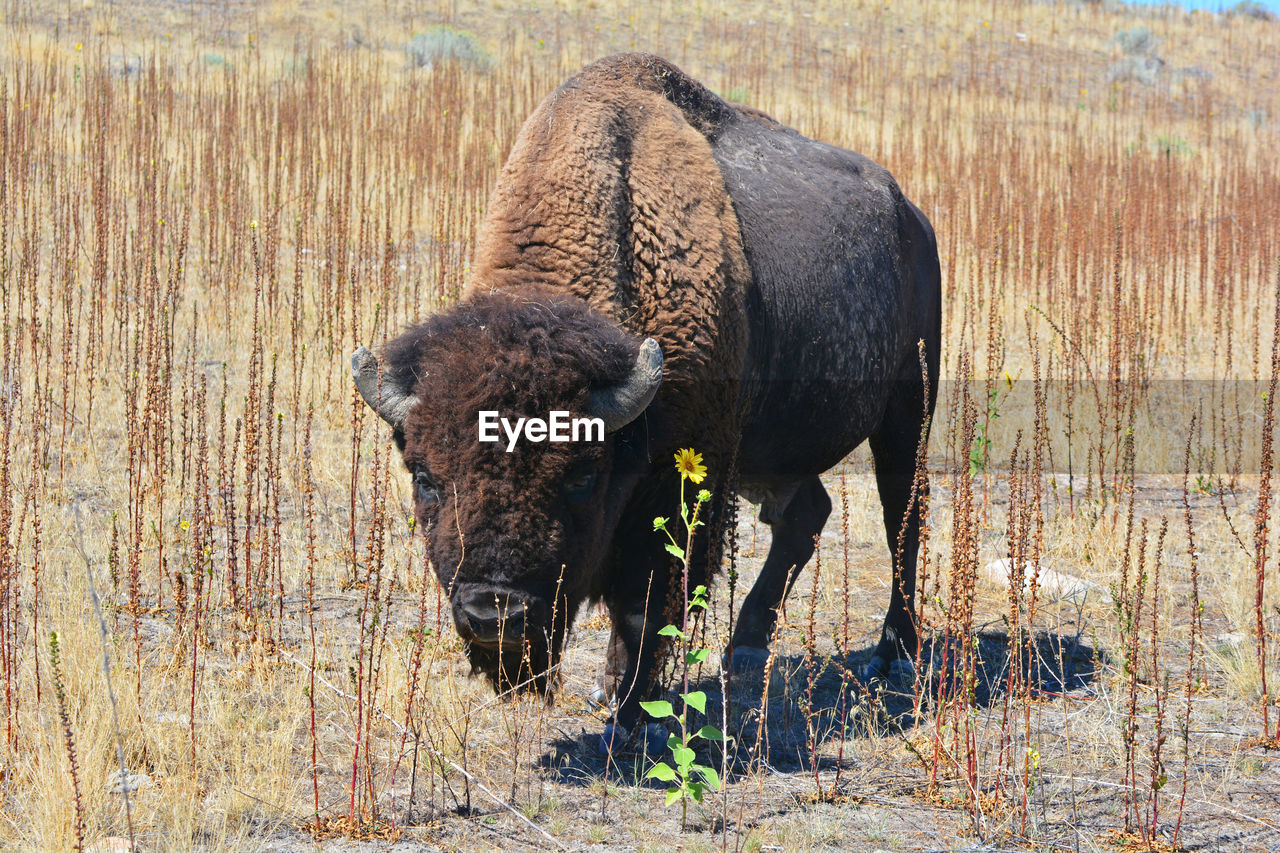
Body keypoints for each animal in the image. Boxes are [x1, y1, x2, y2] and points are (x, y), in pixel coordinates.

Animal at [350, 53, 942, 742]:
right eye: (424, 478)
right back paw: (745, 650)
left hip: (907, 407)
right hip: (766, 454)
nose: (494, 613)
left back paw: (894, 654)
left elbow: (645, 603)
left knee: (904, 515)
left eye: (581, 477)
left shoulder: (682, 482)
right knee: (806, 513)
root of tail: (911, 215)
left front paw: (631, 712)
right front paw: (615, 693)